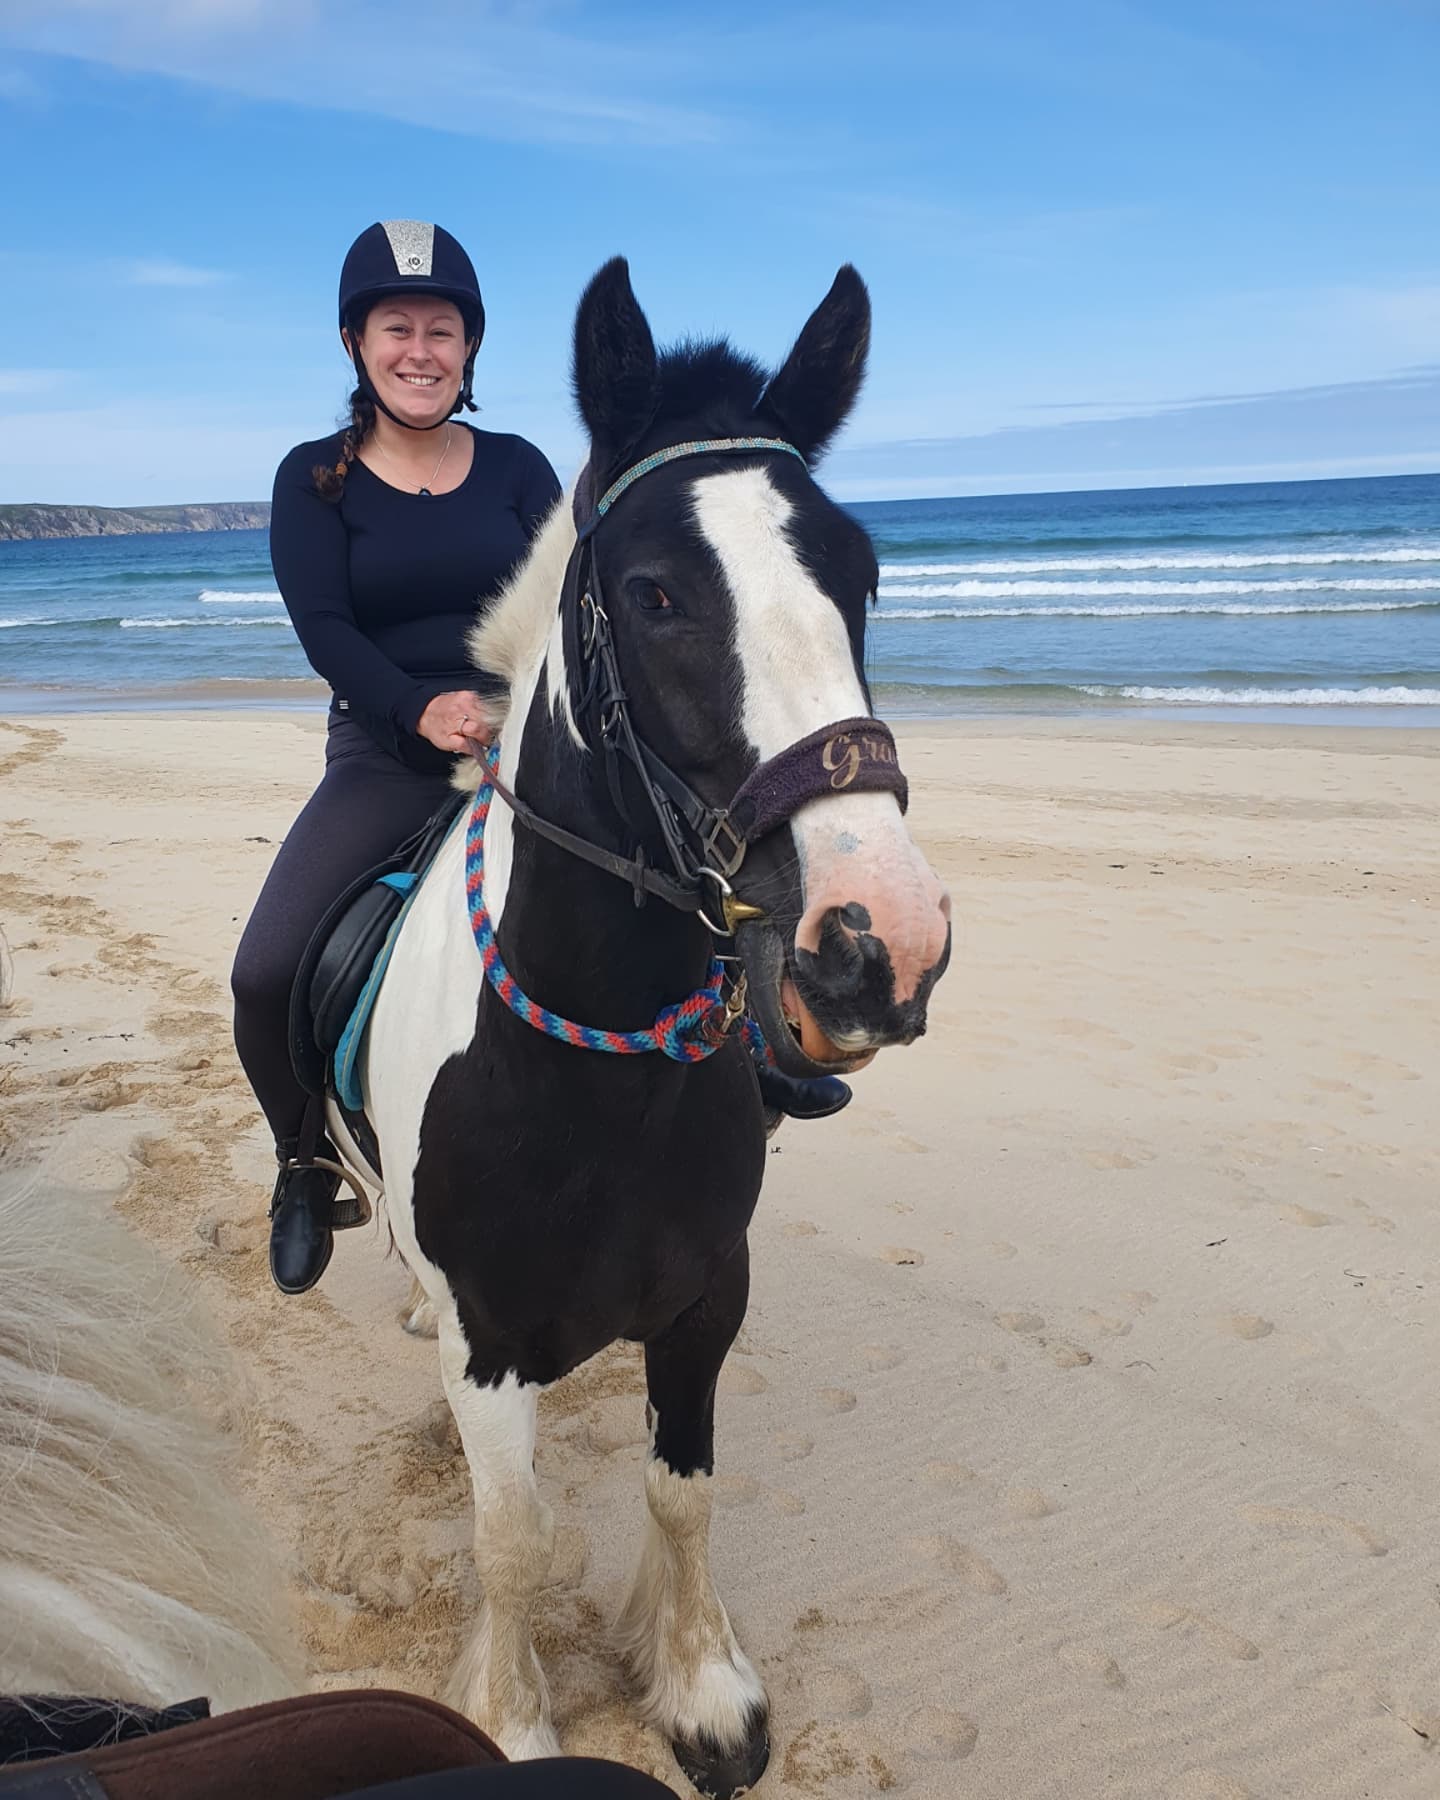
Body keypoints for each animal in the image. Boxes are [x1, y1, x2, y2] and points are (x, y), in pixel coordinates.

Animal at [342, 258, 952, 1796]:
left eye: (860, 574)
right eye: (656, 592)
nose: (882, 942)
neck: (589, 1070)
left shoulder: (702, 1302)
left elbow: (684, 1499)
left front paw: (701, 1691)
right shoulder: (490, 1340)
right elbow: (512, 1541)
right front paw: (512, 1719)